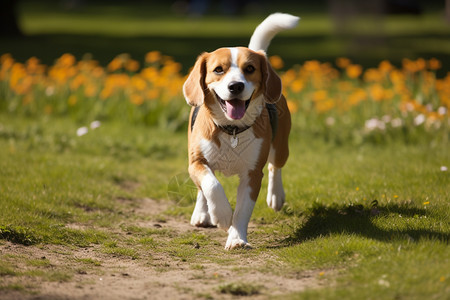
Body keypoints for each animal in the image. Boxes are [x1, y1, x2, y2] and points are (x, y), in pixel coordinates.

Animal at [183, 12, 298, 250]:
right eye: (218, 69)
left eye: (250, 69)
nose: (236, 86)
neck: (231, 130)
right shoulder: (196, 162)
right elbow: (212, 186)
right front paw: (221, 215)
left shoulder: (252, 174)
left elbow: (243, 210)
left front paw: (237, 238)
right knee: (202, 188)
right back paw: (202, 213)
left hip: (281, 147)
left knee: (276, 166)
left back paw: (276, 195)